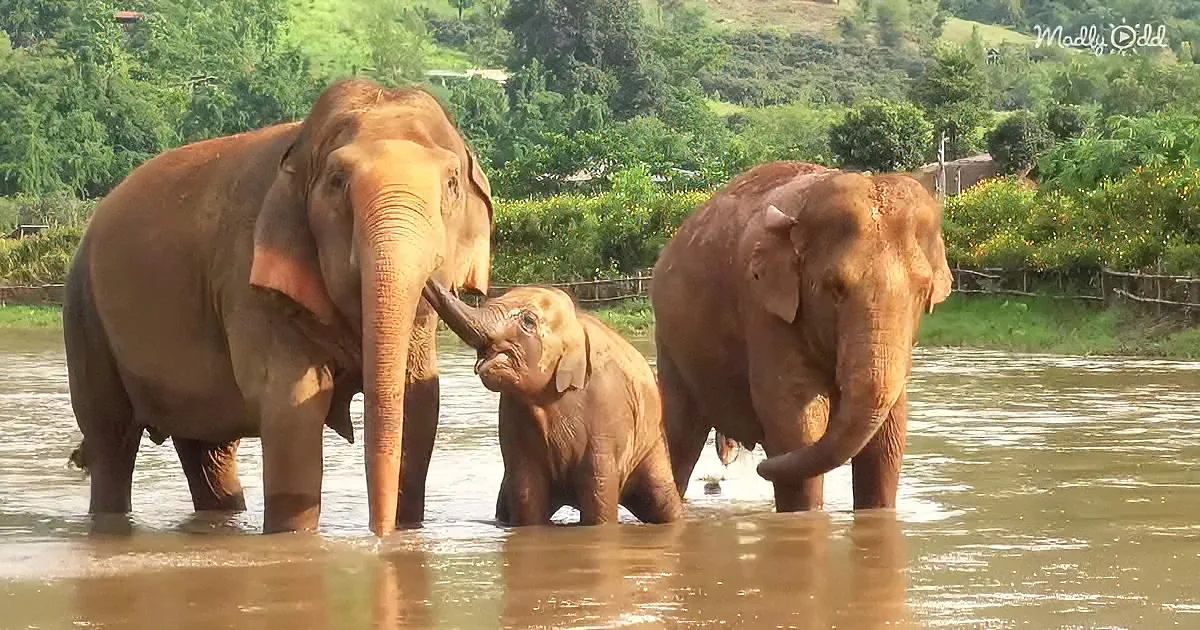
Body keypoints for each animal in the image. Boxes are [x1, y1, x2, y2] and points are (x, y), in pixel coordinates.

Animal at [62, 77, 494, 536]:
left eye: (452, 184)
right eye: (337, 181)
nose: (379, 535)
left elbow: (419, 402)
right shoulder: (250, 281)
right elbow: (293, 404)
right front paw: (295, 536)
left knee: (207, 450)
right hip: (84, 311)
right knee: (112, 439)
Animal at [421, 279, 684, 526]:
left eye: (528, 321)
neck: (575, 324)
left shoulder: (608, 408)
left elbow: (599, 486)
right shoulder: (512, 412)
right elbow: (526, 488)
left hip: (651, 443)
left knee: (662, 500)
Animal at [650, 161, 952, 512]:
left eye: (922, 291)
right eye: (835, 288)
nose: (760, 466)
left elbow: (886, 442)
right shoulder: (763, 307)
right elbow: (796, 424)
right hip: (671, 345)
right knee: (679, 436)